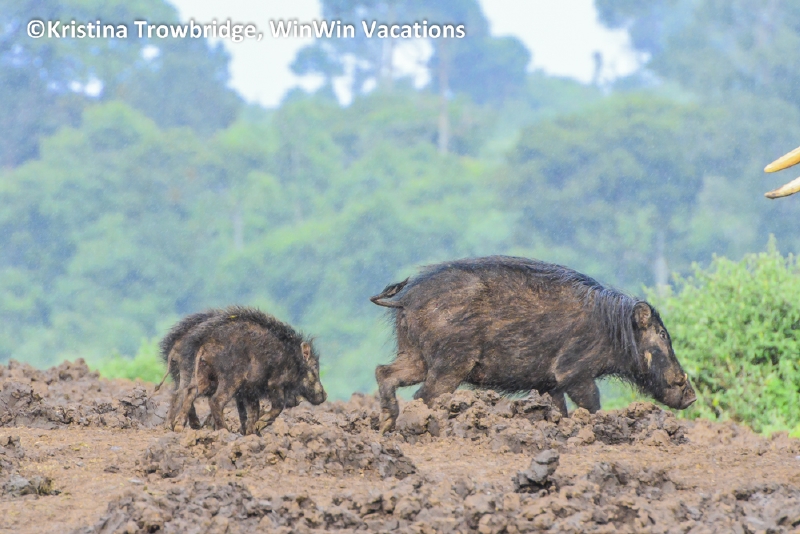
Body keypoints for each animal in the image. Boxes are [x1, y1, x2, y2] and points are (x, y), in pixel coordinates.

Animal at [172, 307, 327, 434]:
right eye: (314, 367)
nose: (324, 395)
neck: (293, 360)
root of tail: (206, 344)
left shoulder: (251, 390)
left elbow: (253, 412)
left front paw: (252, 433)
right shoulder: (275, 383)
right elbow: (277, 406)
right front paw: (259, 425)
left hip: (204, 372)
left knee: (190, 391)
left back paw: (179, 427)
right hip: (231, 377)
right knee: (215, 400)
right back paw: (225, 430)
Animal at [371, 256, 696, 433]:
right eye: (663, 335)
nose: (691, 396)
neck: (613, 330)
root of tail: (406, 300)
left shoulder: (549, 383)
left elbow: (559, 411)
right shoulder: (573, 372)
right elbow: (592, 404)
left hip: (414, 354)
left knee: (384, 372)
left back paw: (386, 425)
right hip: (451, 361)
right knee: (422, 396)